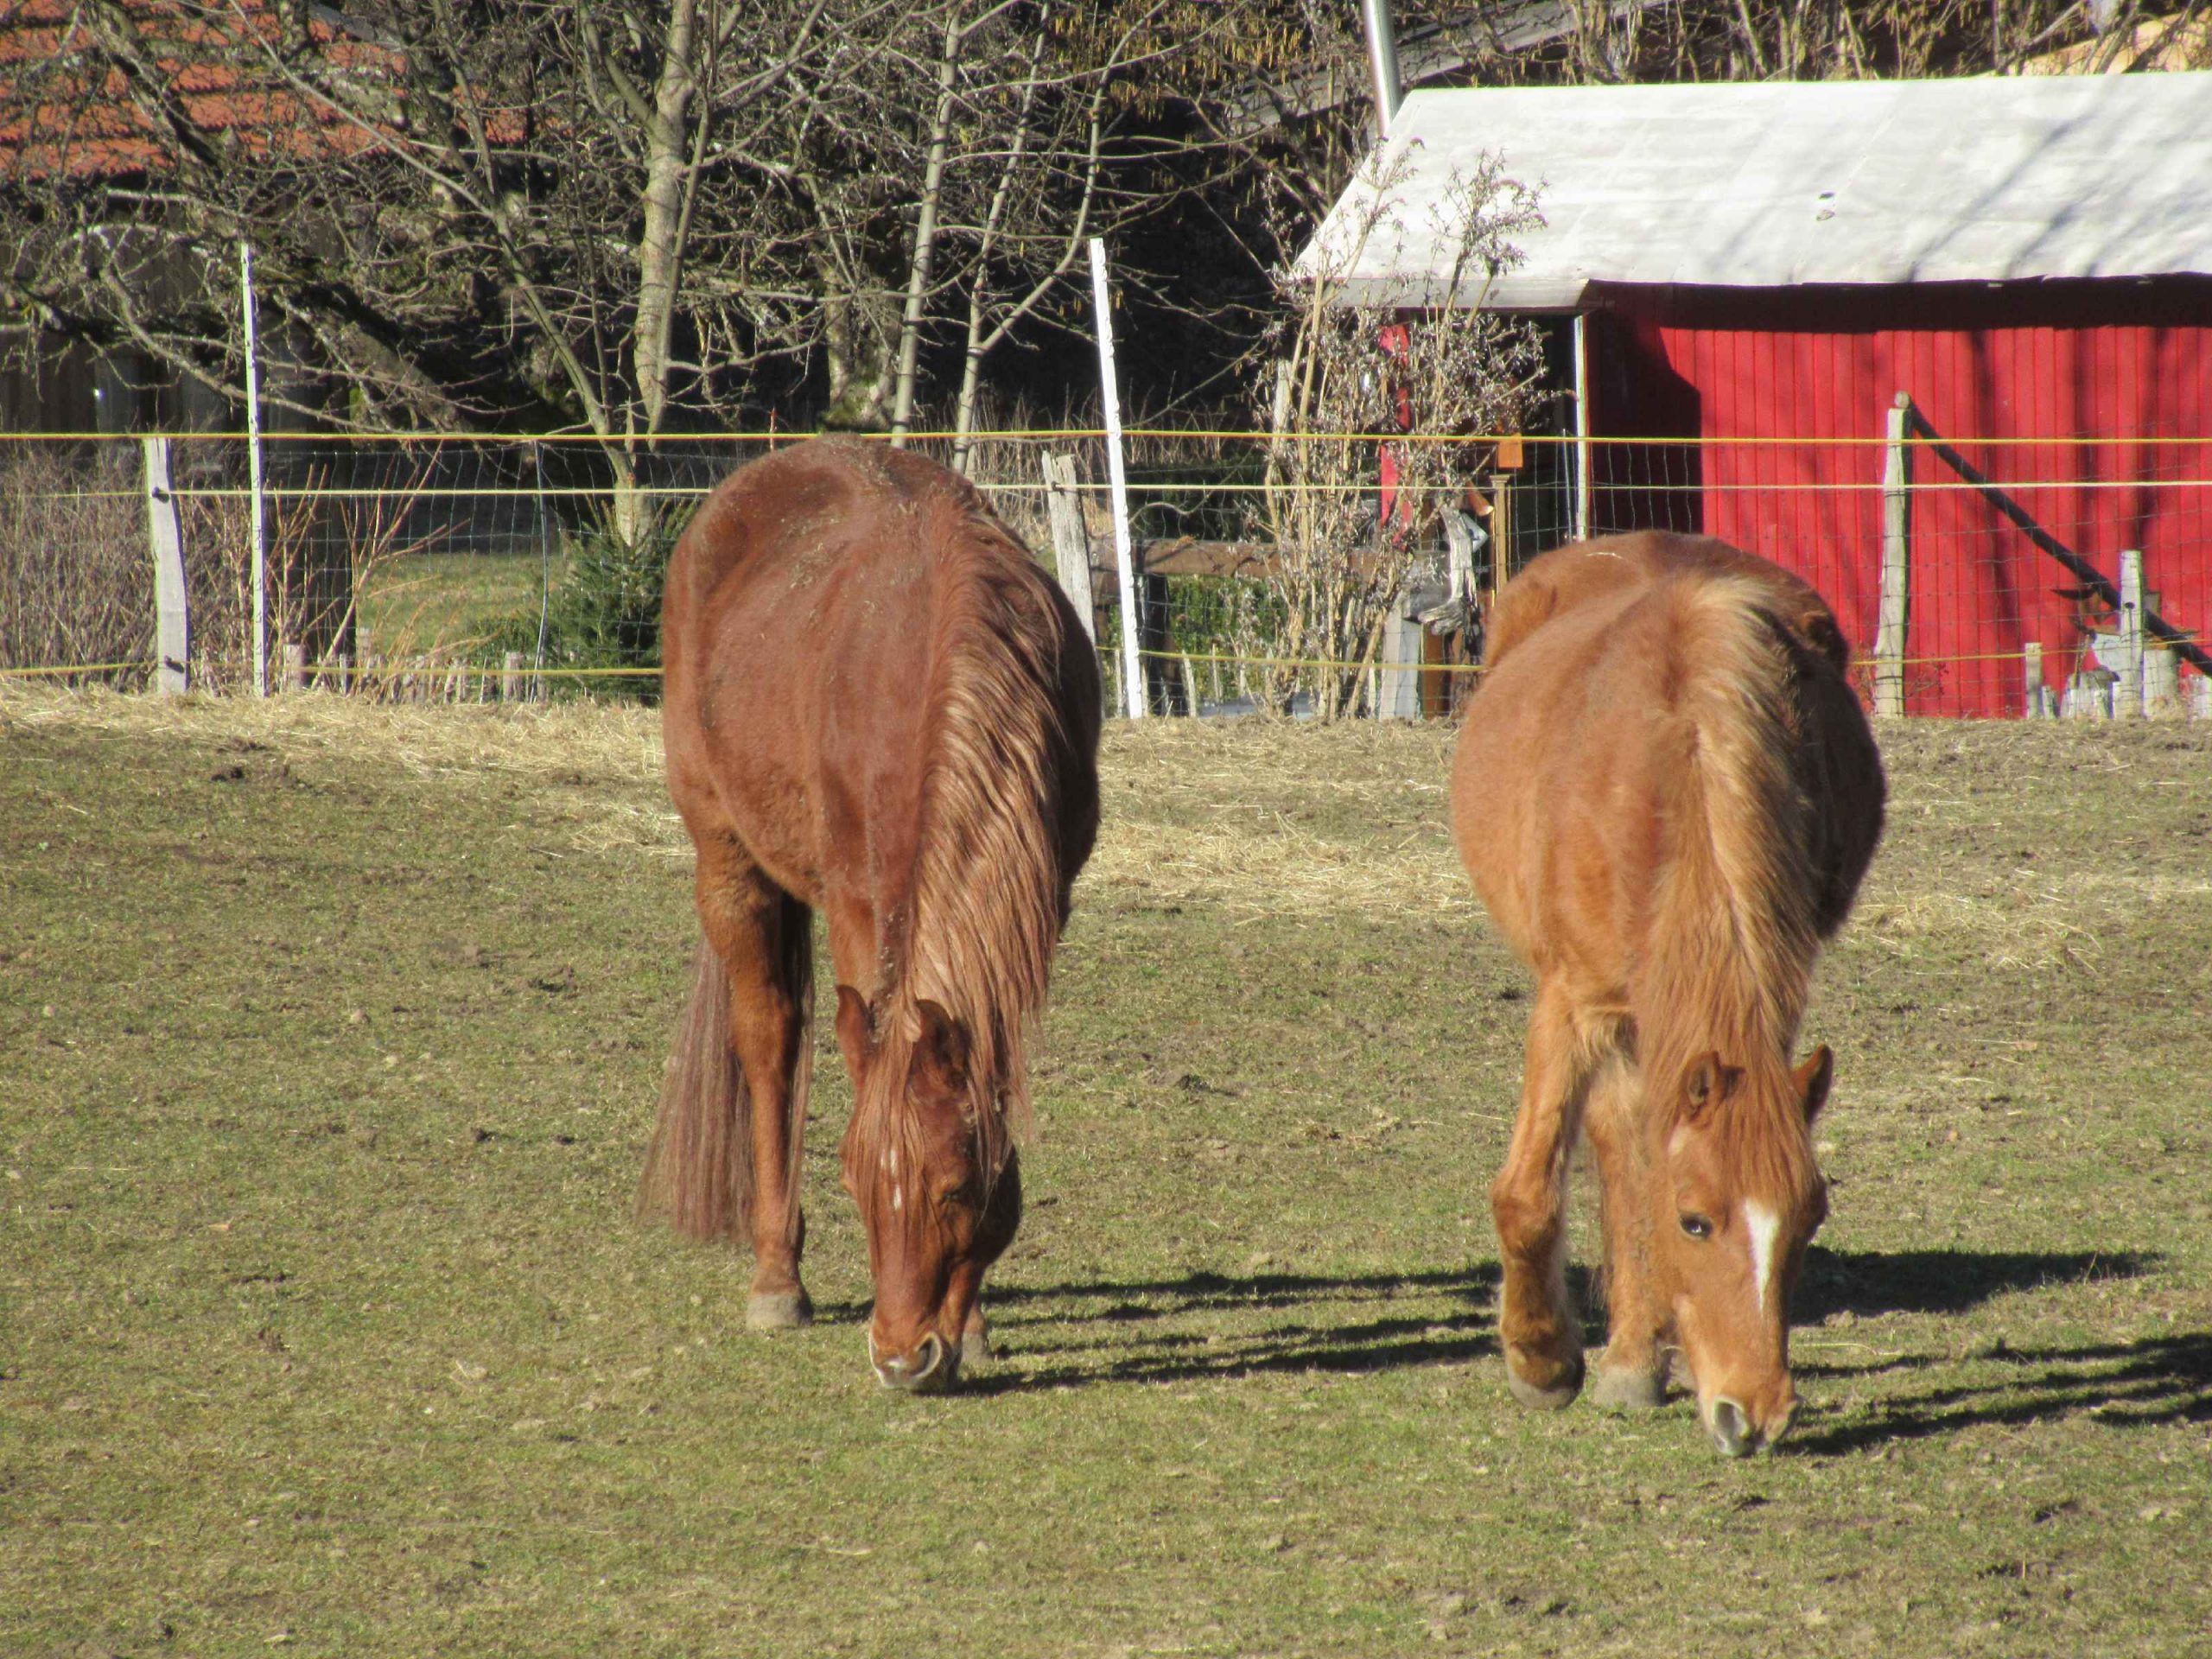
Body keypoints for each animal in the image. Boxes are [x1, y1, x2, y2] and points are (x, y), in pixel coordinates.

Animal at [641, 437, 1101, 1393]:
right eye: (854, 1185)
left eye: (956, 1188)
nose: (901, 1356)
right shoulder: (861, 904)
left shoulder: (1046, 902)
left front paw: (975, 1328)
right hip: (727, 860)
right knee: (769, 1040)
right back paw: (776, 1281)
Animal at [1451, 532, 1884, 1456]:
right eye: (1696, 1222)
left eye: (1809, 1220)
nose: (1755, 1416)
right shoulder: (1572, 1002)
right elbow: (1530, 1193)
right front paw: (1542, 1360)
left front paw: (1634, 1351)